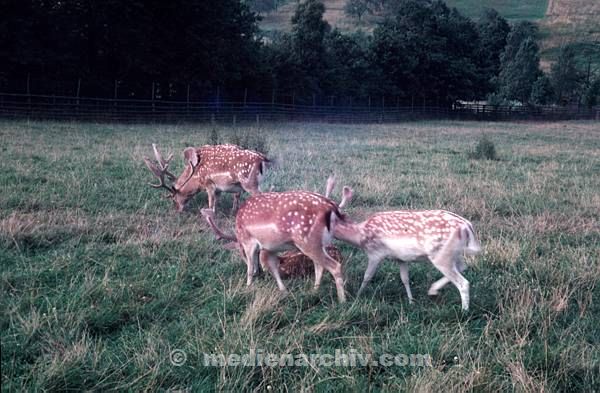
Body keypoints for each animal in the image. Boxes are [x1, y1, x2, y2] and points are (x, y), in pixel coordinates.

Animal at [202, 190, 346, 304]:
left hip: (308, 242)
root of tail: (331, 207)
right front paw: (284, 290)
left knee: (334, 266)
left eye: (241, 252)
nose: (258, 273)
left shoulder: (249, 242)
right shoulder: (270, 248)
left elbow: (250, 268)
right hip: (318, 243)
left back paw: (342, 300)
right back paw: (314, 291)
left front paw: (248, 287)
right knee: (320, 266)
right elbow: (274, 268)